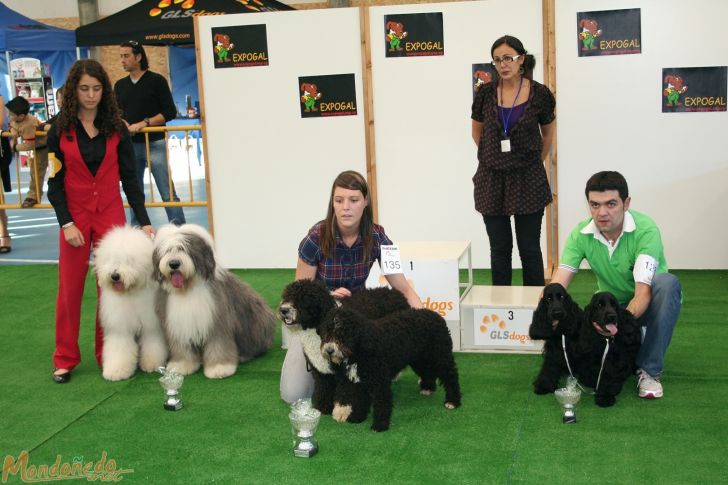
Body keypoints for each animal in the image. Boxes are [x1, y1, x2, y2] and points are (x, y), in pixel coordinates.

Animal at [278, 278, 410, 418]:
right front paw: (322, 407)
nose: (283, 310)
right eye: (287, 296)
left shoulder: (344, 367)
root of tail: (398, 293)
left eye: (304, 299)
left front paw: (341, 411)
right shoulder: (320, 369)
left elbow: (344, 391)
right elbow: (323, 388)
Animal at [320, 306, 460, 432]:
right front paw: (357, 417)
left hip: (441, 357)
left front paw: (380, 425)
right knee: (428, 372)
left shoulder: (379, 382)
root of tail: (436, 315)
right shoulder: (357, 383)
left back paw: (453, 401)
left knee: (451, 376)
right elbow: (359, 401)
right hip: (420, 359)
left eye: (342, 334)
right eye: (326, 334)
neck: (359, 350)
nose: (329, 350)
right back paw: (427, 388)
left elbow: (382, 403)